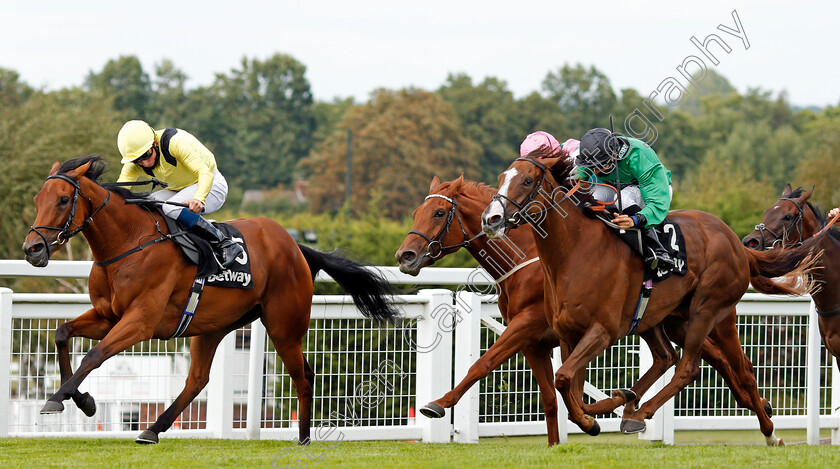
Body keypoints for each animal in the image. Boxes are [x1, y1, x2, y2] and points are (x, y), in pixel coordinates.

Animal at [21, 155, 398, 444]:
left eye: (63, 200)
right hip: (212, 326)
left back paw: (304, 438)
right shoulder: (107, 315)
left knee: (302, 376)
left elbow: (94, 355)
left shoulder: (140, 321)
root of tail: (295, 247)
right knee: (198, 380)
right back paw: (153, 430)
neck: (128, 244)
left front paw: (58, 398)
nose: (32, 249)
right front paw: (81, 400)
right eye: (38, 199)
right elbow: (63, 334)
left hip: (284, 327)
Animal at [400, 175, 788, 442]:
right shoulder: (536, 342)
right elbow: (552, 398)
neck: (528, 257)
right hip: (667, 320)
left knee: (725, 365)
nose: (405, 256)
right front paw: (560, 442)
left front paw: (438, 403)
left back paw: (765, 423)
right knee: (680, 359)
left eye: (439, 212)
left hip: (710, 314)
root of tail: (735, 241)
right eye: (417, 211)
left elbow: (483, 363)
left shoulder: (527, 326)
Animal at [480, 156, 820, 442]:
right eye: (501, 177)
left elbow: (563, 378)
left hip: (711, 312)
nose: (491, 218)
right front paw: (596, 413)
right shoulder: (567, 334)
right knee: (668, 357)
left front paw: (591, 421)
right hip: (664, 318)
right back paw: (628, 403)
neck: (575, 252)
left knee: (695, 368)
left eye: (527, 181)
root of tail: (736, 242)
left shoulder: (603, 331)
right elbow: (569, 385)